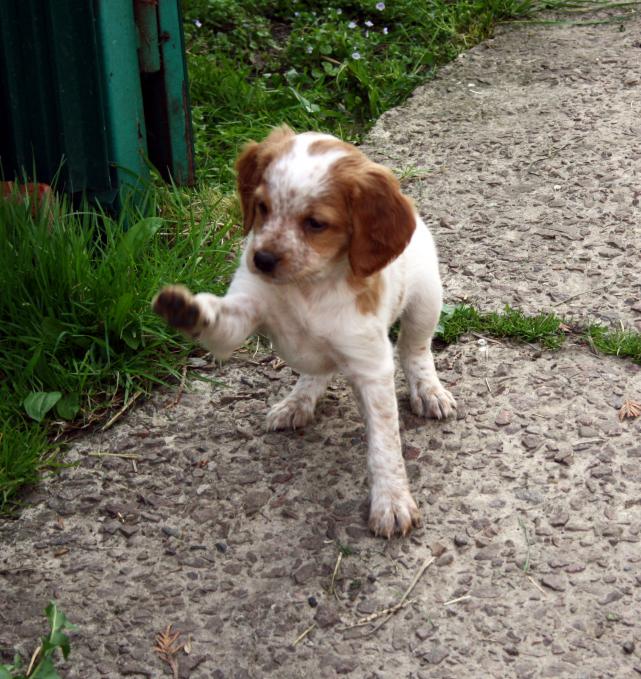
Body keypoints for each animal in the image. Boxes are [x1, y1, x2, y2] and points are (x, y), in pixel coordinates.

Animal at [152, 125, 456, 537]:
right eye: (262, 207)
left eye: (316, 223)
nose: (262, 259)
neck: (308, 287)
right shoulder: (246, 307)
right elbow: (221, 320)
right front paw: (186, 308)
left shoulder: (370, 365)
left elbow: (385, 444)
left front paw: (391, 500)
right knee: (317, 372)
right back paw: (297, 401)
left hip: (426, 302)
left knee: (415, 349)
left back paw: (428, 391)